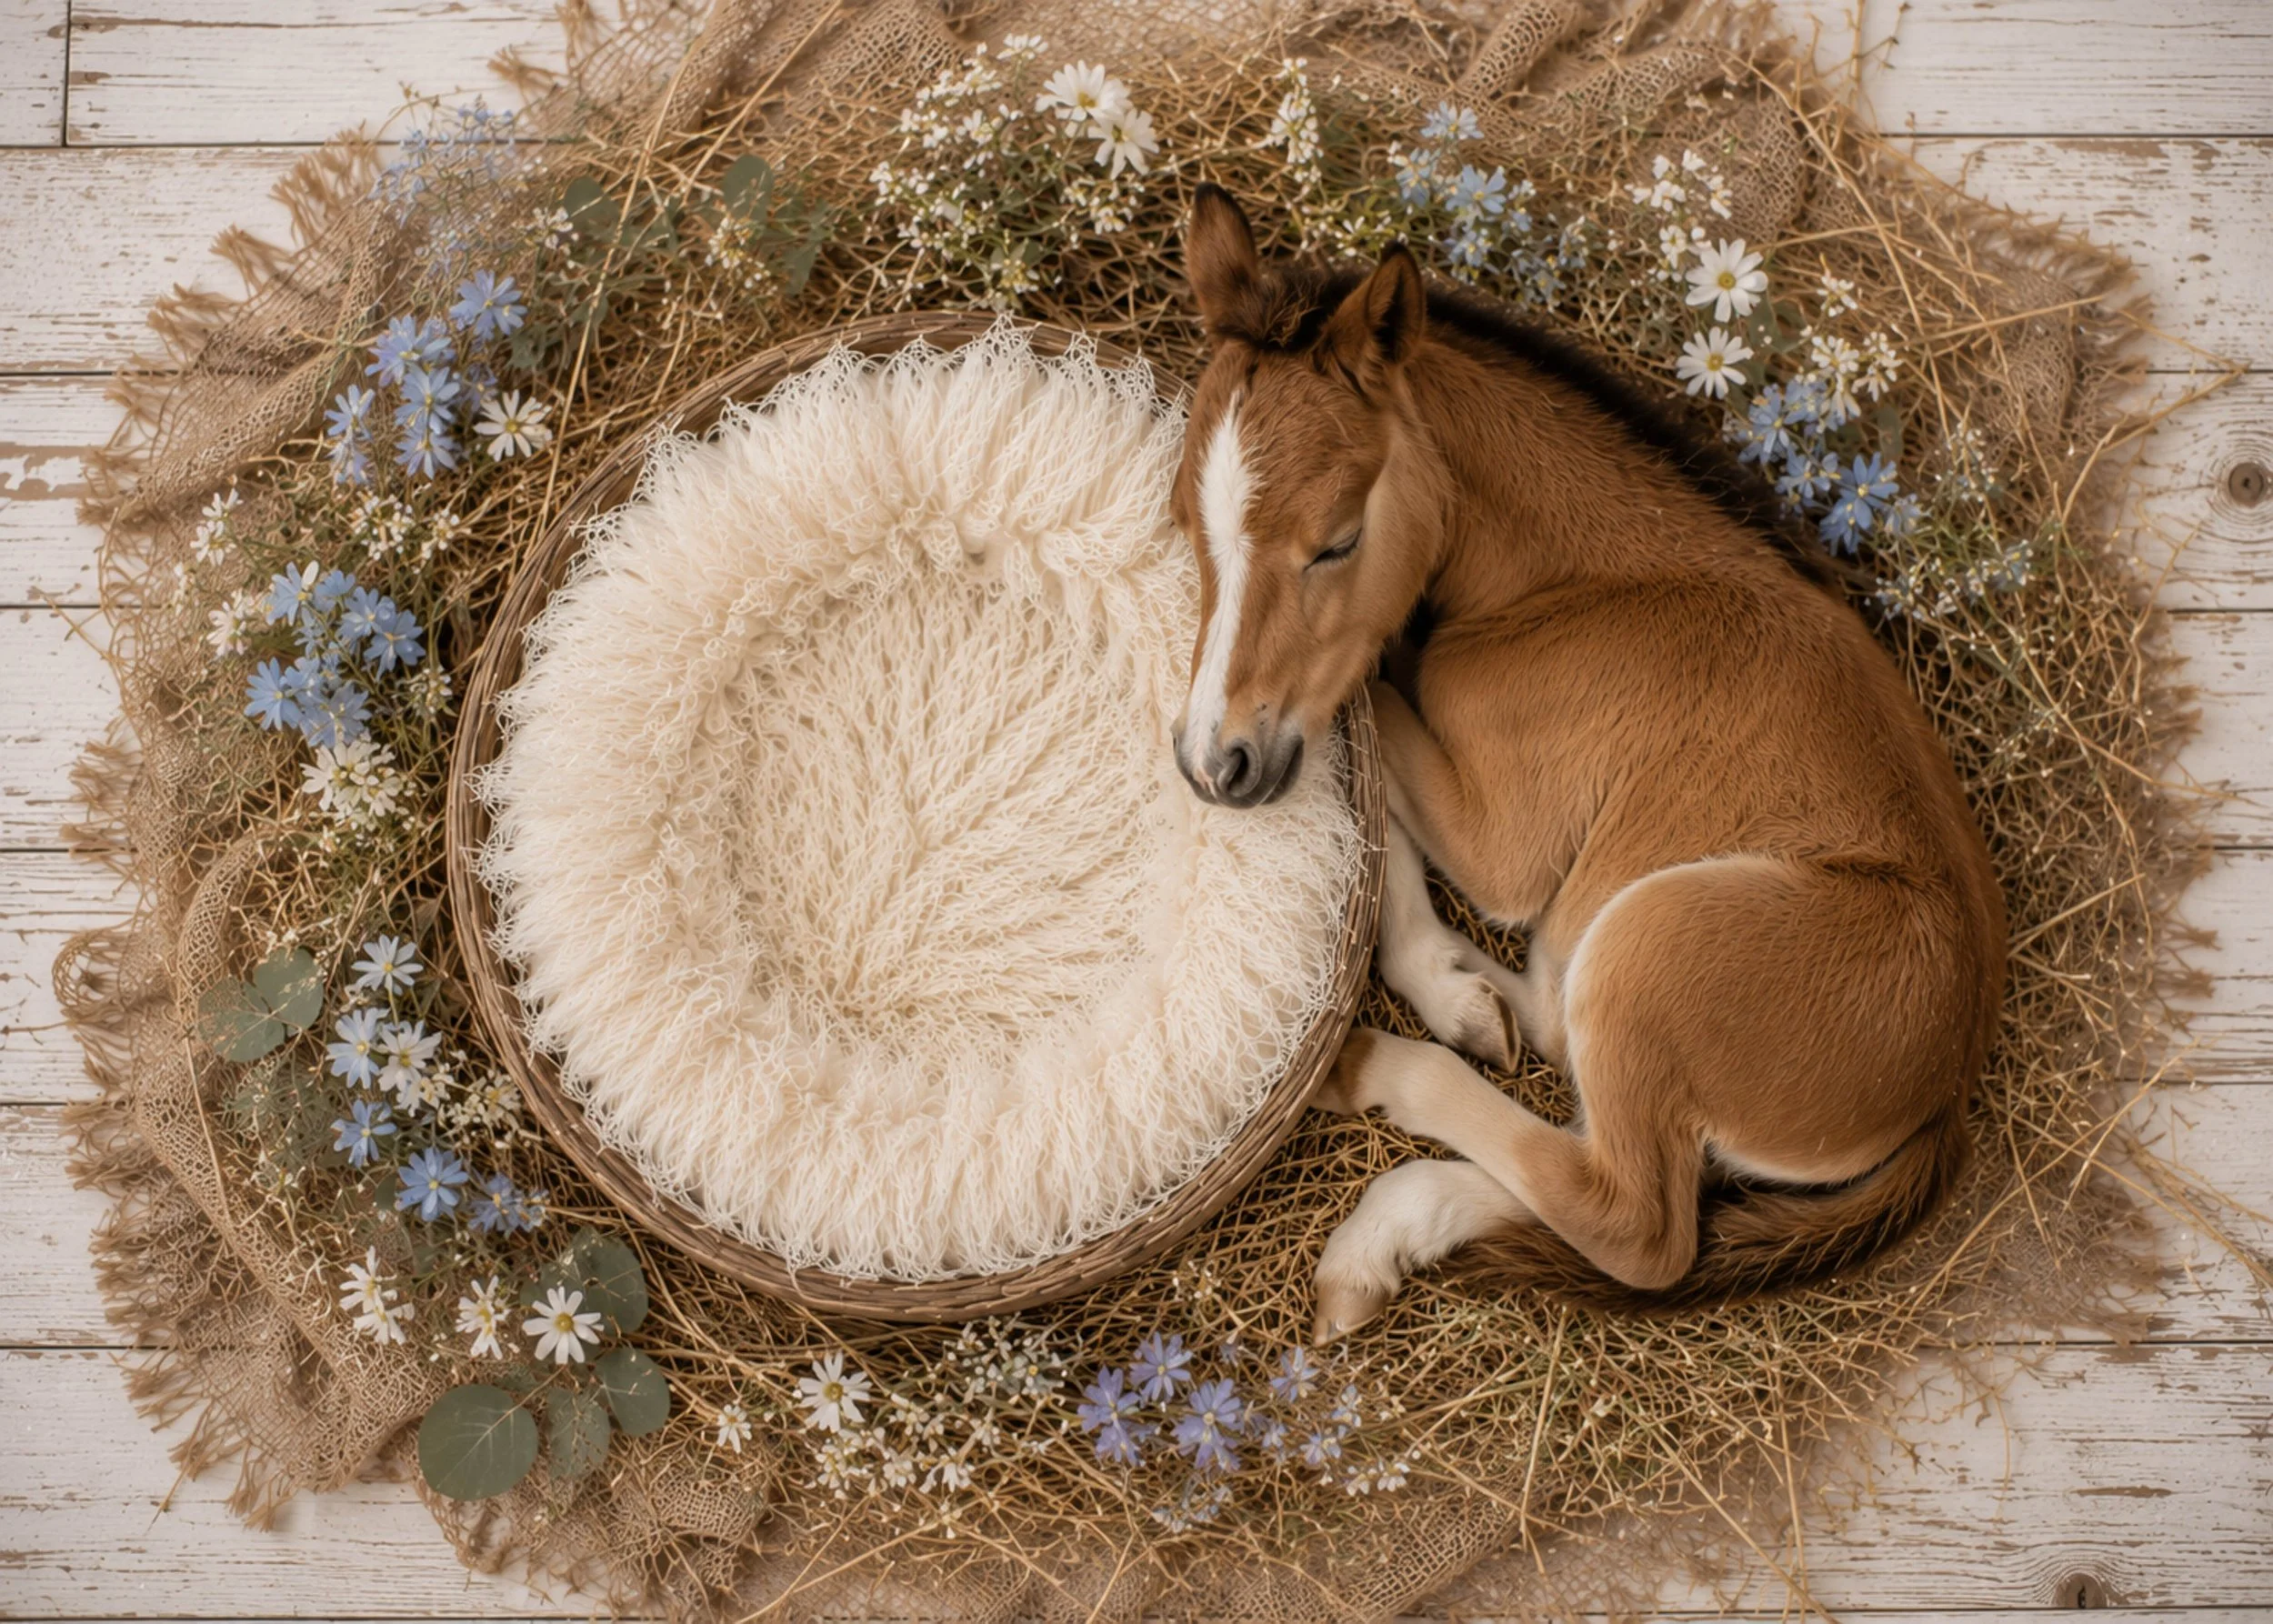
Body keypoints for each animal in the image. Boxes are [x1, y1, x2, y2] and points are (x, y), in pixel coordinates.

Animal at [1168, 186, 2005, 1341]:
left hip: (1654, 940)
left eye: (1335, 541)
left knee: (1636, 1222)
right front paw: (1449, 988)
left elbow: (1364, 708)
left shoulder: (1500, 846)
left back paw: (1380, 1084)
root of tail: (1946, 1091)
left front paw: (1428, 982)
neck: (1581, 581)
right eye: (1183, 521)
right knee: (1600, 1125)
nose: (1217, 763)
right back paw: (1409, 1186)